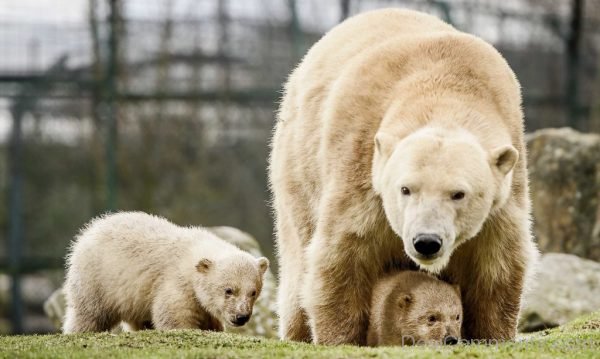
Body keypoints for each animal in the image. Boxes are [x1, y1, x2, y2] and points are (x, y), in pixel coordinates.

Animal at [270, 9, 536, 346]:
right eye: (405, 189)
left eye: (458, 193)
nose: (426, 242)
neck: (446, 86)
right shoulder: (360, 164)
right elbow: (343, 253)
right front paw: (340, 339)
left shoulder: (506, 189)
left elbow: (497, 263)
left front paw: (492, 335)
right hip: (298, 166)